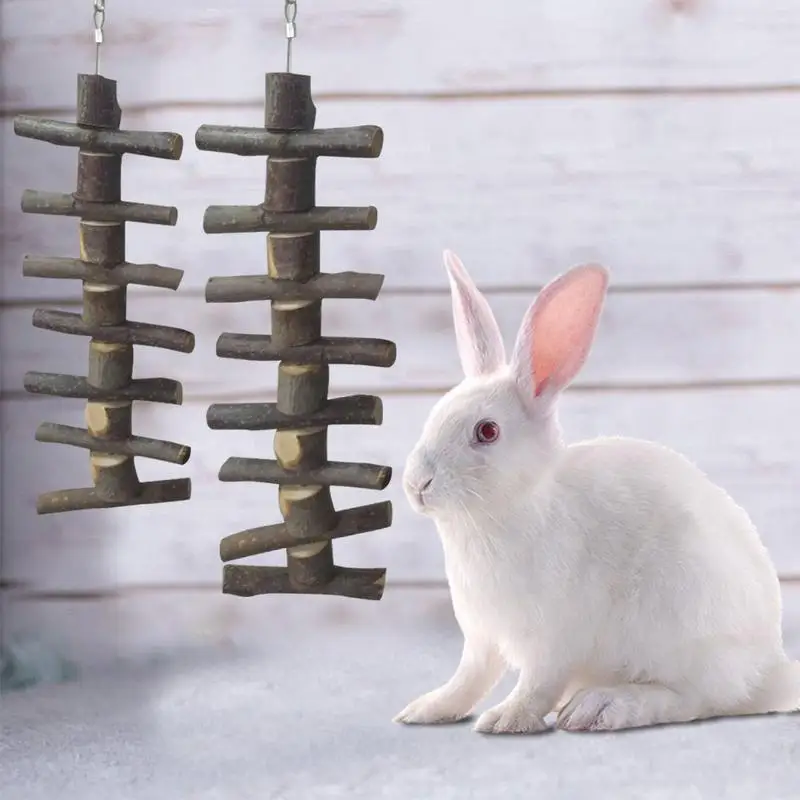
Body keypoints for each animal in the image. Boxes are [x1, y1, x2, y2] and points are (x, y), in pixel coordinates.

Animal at [394, 250, 800, 735]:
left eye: (487, 431)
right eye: (435, 412)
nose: (416, 484)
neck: (509, 509)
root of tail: (767, 670)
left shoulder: (554, 639)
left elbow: (537, 686)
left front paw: (506, 719)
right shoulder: (481, 638)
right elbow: (469, 680)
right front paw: (427, 709)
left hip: (681, 619)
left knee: (695, 699)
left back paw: (603, 706)